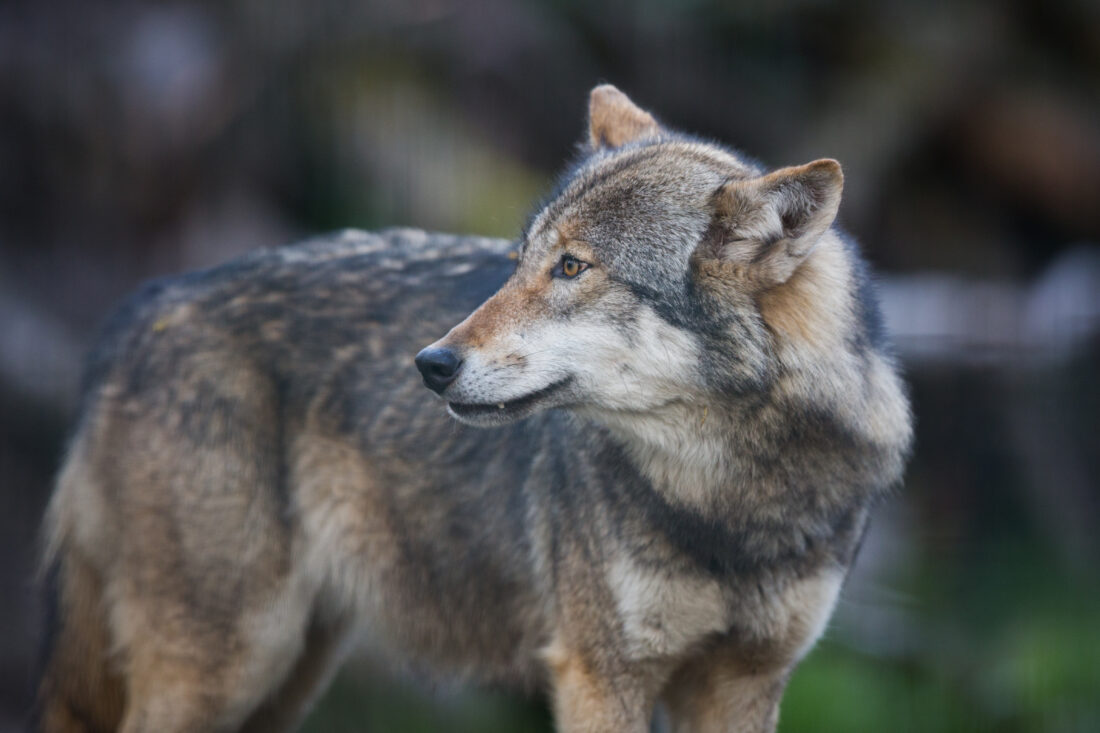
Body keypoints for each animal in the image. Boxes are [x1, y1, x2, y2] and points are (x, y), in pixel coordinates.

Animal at [37, 85, 911, 732]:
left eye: (572, 268)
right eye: (520, 260)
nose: (431, 364)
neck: (726, 498)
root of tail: (145, 307)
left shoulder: (744, 682)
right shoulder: (600, 675)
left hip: (281, 677)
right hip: (224, 666)